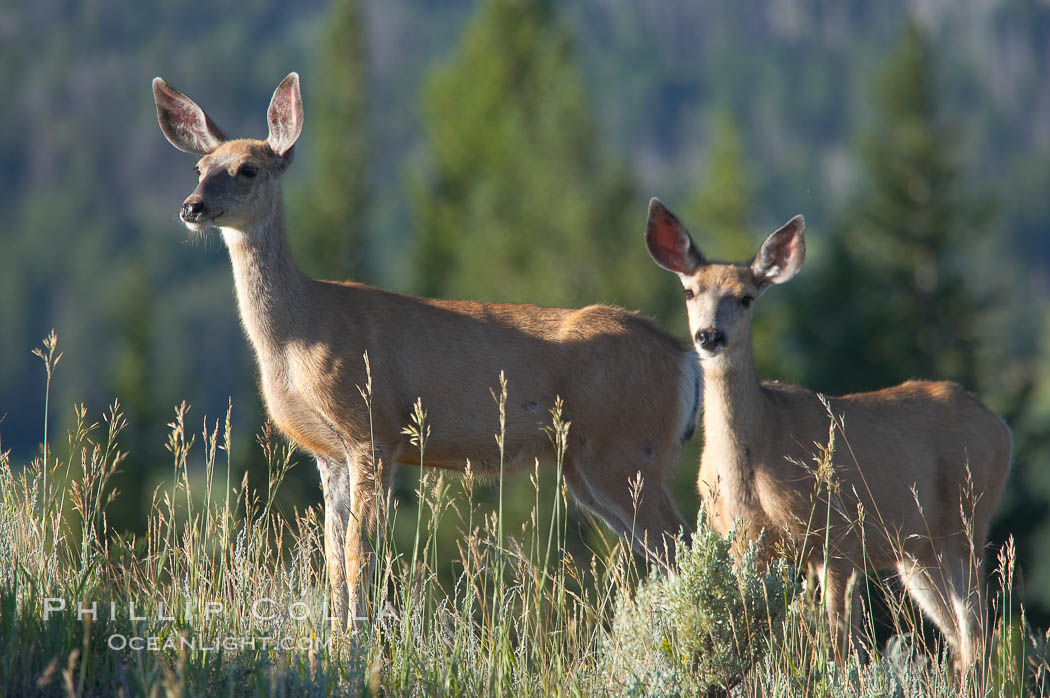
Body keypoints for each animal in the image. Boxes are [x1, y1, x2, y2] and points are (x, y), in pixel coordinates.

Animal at [150, 73, 705, 629]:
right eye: (200, 168)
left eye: (247, 169)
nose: (191, 206)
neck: (297, 335)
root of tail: (686, 360)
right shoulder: (328, 453)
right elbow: (331, 557)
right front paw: (337, 633)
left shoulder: (373, 430)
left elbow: (359, 551)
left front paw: (360, 638)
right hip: (590, 466)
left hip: (625, 450)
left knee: (687, 543)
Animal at [642, 198, 1012, 675]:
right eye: (690, 292)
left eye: (746, 297)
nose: (709, 336)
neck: (757, 456)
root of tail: (1001, 427)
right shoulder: (741, 543)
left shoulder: (837, 536)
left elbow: (836, 641)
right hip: (916, 552)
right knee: (960, 636)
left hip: (968, 520)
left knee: (977, 631)